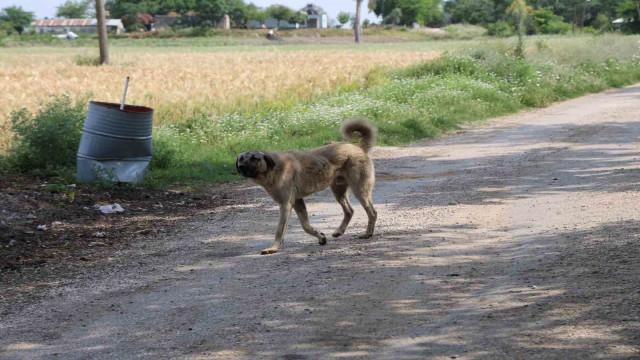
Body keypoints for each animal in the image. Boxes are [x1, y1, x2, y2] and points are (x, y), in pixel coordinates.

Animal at [235, 119, 376, 255]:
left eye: (254, 158)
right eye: (241, 159)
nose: (241, 167)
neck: (272, 169)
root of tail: (358, 147)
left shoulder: (286, 204)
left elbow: (280, 230)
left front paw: (273, 248)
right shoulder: (297, 201)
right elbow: (306, 226)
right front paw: (321, 237)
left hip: (360, 190)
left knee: (372, 212)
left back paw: (368, 234)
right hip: (338, 191)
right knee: (349, 211)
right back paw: (339, 231)